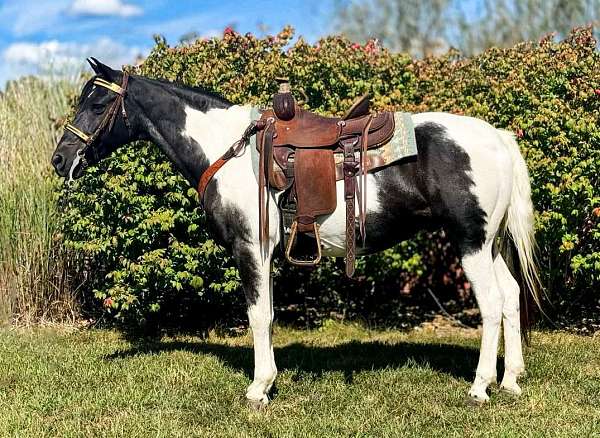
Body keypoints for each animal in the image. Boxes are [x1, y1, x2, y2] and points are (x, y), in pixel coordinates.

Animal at [50, 60, 540, 406]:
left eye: (97, 104)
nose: (59, 159)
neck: (228, 149)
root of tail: (497, 137)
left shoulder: (250, 248)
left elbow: (257, 316)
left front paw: (258, 389)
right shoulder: (263, 252)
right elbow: (265, 315)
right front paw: (267, 383)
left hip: (470, 241)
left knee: (491, 303)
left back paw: (480, 387)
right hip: (490, 244)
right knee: (511, 297)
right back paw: (511, 380)